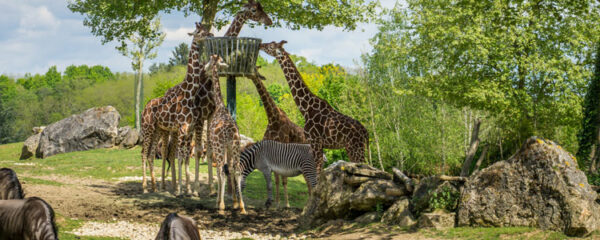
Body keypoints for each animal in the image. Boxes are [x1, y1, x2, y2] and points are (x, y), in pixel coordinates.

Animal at [141, 22, 213, 195]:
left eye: (205, 29)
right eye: (199, 32)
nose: (211, 35)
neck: (189, 94)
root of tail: (144, 108)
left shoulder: (189, 129)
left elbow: (185, 156)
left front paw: (188, 190)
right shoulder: (182, 128)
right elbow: (180, 156)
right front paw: (180, 190)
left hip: (158, 129)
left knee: (151, 153)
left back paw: (155, 187)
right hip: (147, 128)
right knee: (144, 153)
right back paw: (145, 187)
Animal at [204, 54, 246, 214]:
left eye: (208, 62)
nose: (204, 69)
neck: (220, 105)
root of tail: (229, 132)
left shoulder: (214, 145)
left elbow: (219, 171)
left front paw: (218, 202)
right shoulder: (228, 147)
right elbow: (231, 170)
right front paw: (234, 202)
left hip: (220, 146)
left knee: (221, 170)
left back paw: (221, 206)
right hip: (235, 146)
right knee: (237, 170)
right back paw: (242, 206)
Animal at [246, 68, 308, 207]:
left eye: (255, 70)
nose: (248, 74)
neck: (273, 118)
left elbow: (284, 180)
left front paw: (286, 204)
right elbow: (277, 180)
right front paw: (277, 202)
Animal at [258, 40, 370, 172]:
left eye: (270, 46)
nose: (260, 44)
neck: (306, 108)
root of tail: (366, 133)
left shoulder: (315, 141)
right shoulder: (317, 144)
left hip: (355, 148)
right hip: (352, 148)